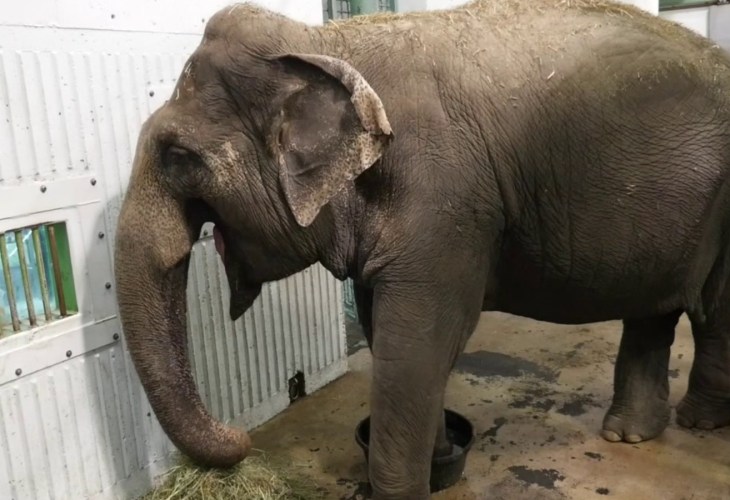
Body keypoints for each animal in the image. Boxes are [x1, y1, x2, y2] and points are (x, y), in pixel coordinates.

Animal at [112, 1, 728, 498]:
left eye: (177, 156)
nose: (240, 439)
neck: (325, 43)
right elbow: (390, 334)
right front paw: (439, 462)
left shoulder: (444, 202)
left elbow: (418, 344)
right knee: (655, 310)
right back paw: (629, 435)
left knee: (714, 312)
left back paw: (699, 423)